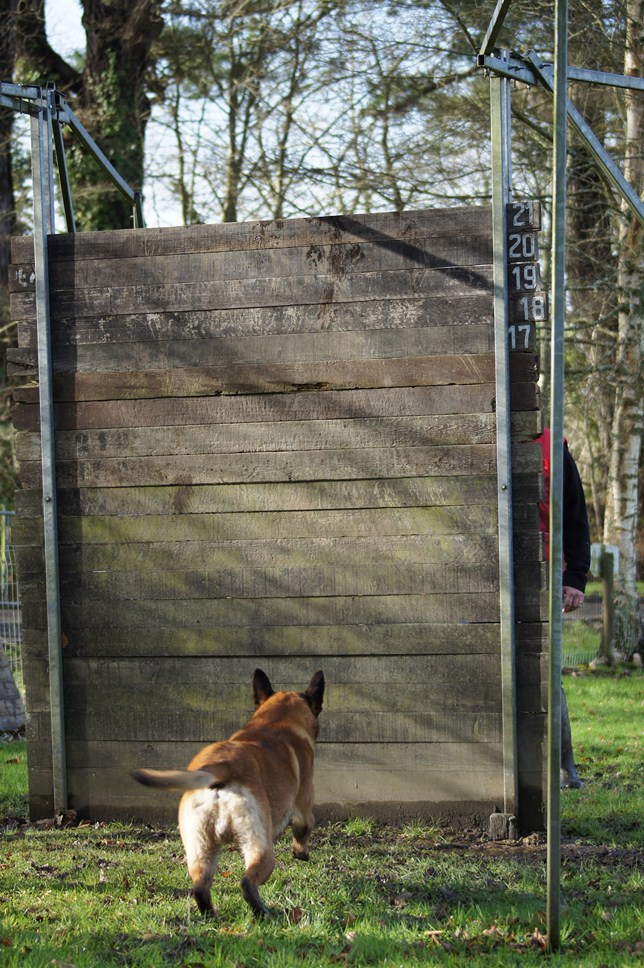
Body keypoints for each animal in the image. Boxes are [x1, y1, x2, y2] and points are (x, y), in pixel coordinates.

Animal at [132, 668, 322, 920]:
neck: (277, 721)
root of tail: (221, 767)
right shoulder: (303, 810)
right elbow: (302, 831)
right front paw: (301, 853)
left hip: (201, 849)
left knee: (200, 887)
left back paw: (209, 915)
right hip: (260, 848)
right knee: (247, 883)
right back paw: (264, 914)